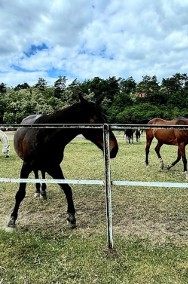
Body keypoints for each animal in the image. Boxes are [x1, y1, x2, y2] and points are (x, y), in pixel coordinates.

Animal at [8, 95, 119, 229]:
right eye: (95, 119)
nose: (114, 149)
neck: (44, 136)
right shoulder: (25, 166)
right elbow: (20, 193)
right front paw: (12, 219)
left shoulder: (54, 167)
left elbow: (67, 189)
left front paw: (71, 217)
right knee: (36, 173)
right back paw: (38, 191)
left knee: (41, 172)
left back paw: (43, 192)